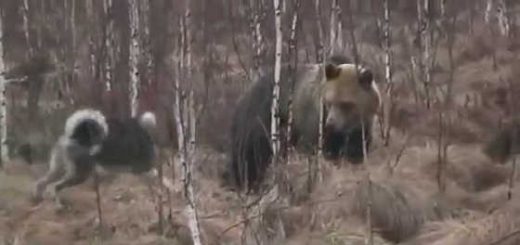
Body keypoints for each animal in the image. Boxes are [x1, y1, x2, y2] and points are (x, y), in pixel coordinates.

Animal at [230, 56, 380, 191]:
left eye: (346, 104)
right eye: (329, 102)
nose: (331, 123)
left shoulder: (361, 129)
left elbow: (356, 149)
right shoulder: (313, 122)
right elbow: (316, 148)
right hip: (260, 117)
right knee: (250, 152)